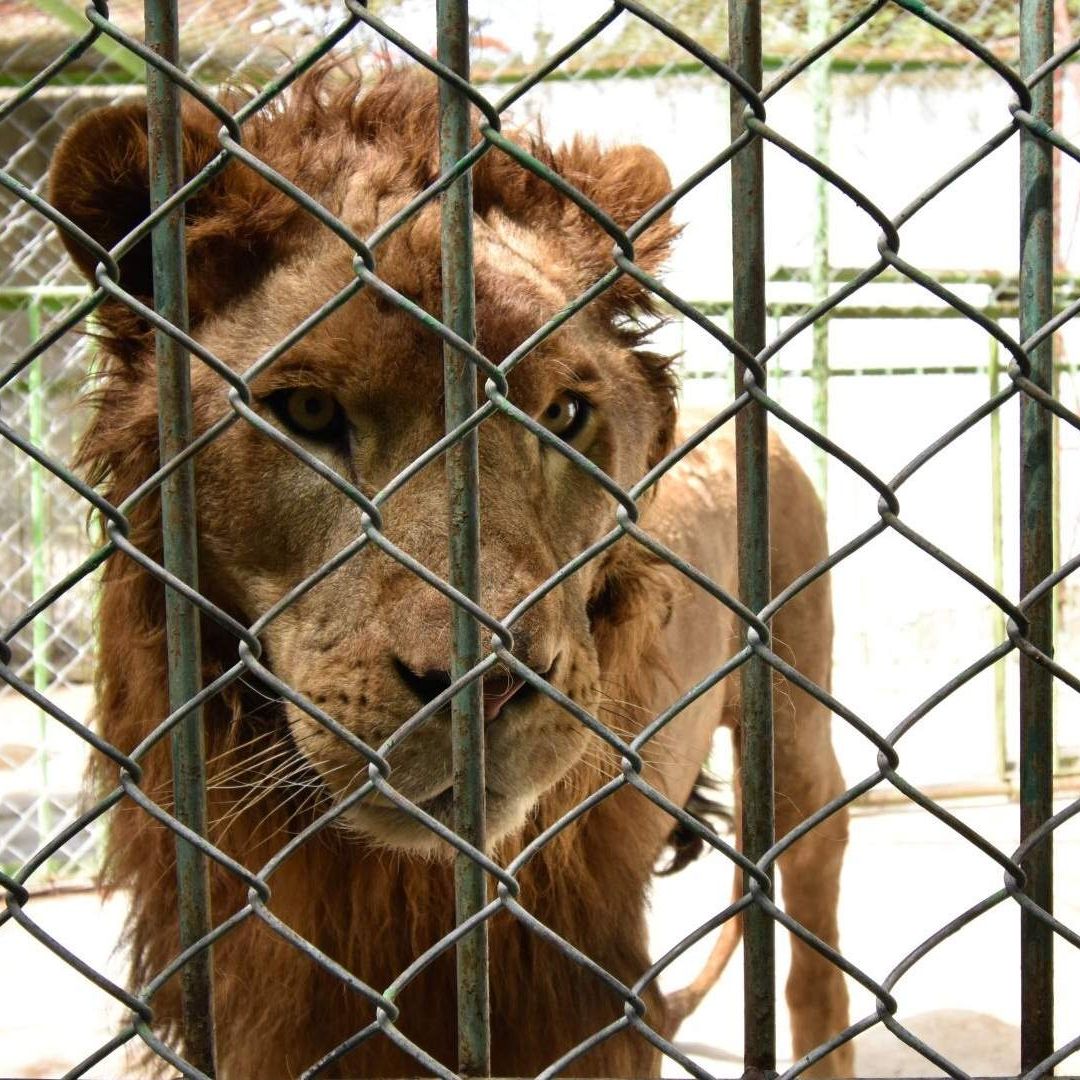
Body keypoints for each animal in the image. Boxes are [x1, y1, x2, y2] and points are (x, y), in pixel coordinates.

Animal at [50, 68, 851, 1077]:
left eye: (564, 414)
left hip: (795, 741)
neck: (391, 890)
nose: (486, 688)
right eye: (308, 411)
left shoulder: (576, 1000)